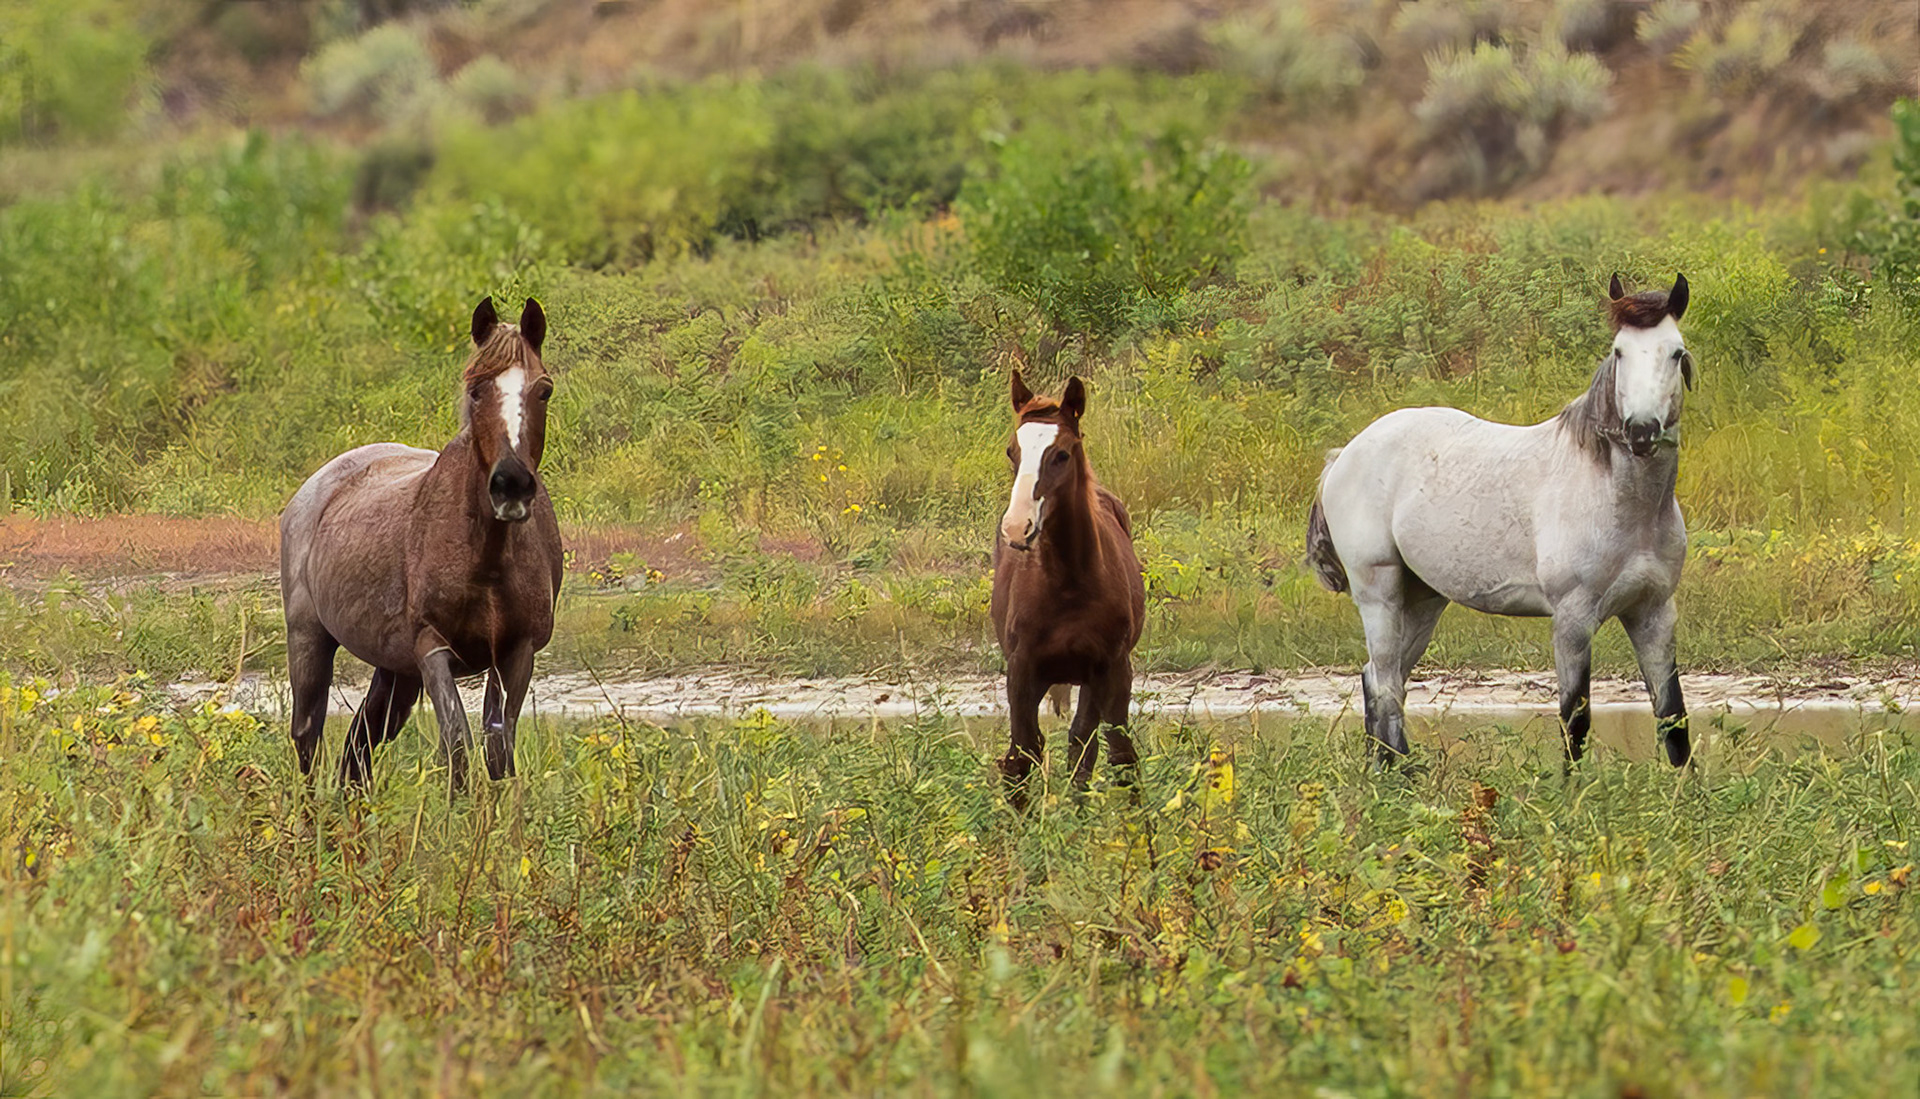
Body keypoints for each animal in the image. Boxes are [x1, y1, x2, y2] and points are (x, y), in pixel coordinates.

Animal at [280, 296, 565, 796]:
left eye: (543, 390)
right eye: (475, 389)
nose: (511, 485)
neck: (485, 555)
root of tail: (311, 490)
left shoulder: (517, 652)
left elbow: (498, 750)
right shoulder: (433, 650)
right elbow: (457, 744)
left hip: (395, 672)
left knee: (360, 745)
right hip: (309, 641)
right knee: (308, 738)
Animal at [990, 371, 1146, 808]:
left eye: (1061, 454)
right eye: (1012, 451)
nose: (1016, 528)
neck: (1069, 585)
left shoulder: (1113, 668)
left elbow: (1118, 755)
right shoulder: (1022, 668)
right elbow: (1021, 755)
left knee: (1084, 745)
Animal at [1306, 273, 1696, 769]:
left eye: (1676, 352)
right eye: (1620, 351)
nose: (1641, 431)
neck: (1621, 500)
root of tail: (1343, 456)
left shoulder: (1654, 613)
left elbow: (1674, 718)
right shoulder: (1572, 619)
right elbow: (1575, 719)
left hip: (1423, 600)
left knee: (1380, 679)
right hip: (1380, 595)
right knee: (1386, 686)